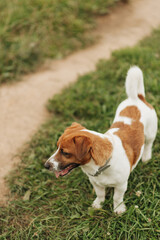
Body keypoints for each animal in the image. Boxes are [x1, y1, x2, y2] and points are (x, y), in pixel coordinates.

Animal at [44, 66, 157, 215]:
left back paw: (146, 157)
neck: (99, 167)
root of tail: (136, 98)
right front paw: (98, 204)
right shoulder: (96, 183)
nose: (46, 165)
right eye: (57, 147)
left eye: (65, 152)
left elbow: (117, 197)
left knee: (148, 144)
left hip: (150, 133)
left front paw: (118, 209)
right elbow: (100, 194)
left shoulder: (121, 185)